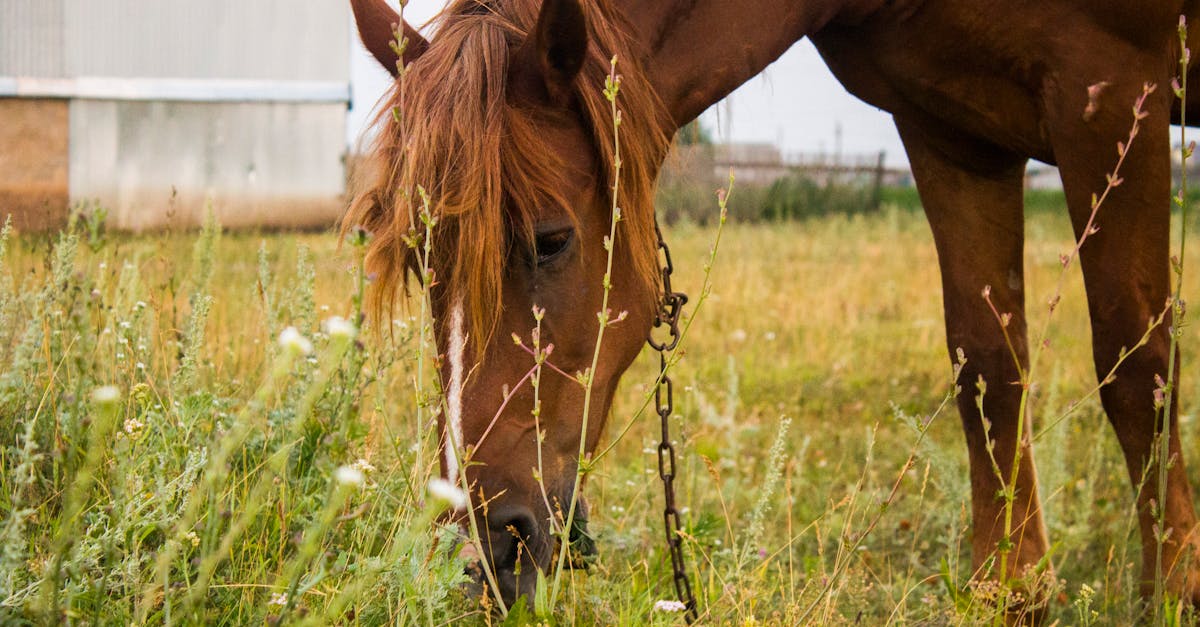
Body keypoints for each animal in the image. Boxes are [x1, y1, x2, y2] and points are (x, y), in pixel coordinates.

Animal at [348, 0, 1200, 610]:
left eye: (550, 239)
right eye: (418, 256)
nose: (484, 550)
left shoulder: (1110, 90)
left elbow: (1138, 364)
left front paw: (1174, 587)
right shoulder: (952, 133)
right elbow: (988, 367)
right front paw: (1013, 591)